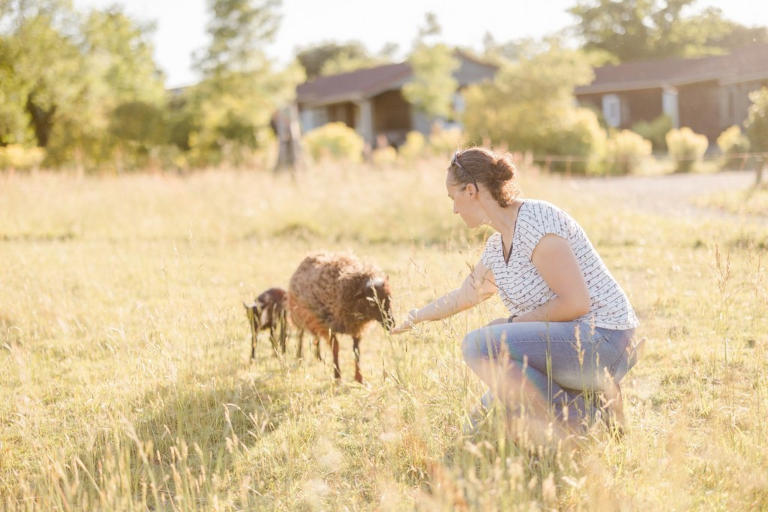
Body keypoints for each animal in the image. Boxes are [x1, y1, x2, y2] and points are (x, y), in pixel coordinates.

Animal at [288, 250, 396, 382]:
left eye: (389, 298)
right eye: (372, 302)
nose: (391, 323)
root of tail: (314, 254)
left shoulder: (355, 328)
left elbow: (356, 351)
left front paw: (359, 378)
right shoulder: (329, 326)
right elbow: (335, 349)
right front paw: (337, 377)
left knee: (315, 336)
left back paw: (318, 356)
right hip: (300, 315)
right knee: (301, 334)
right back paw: (299, 356)